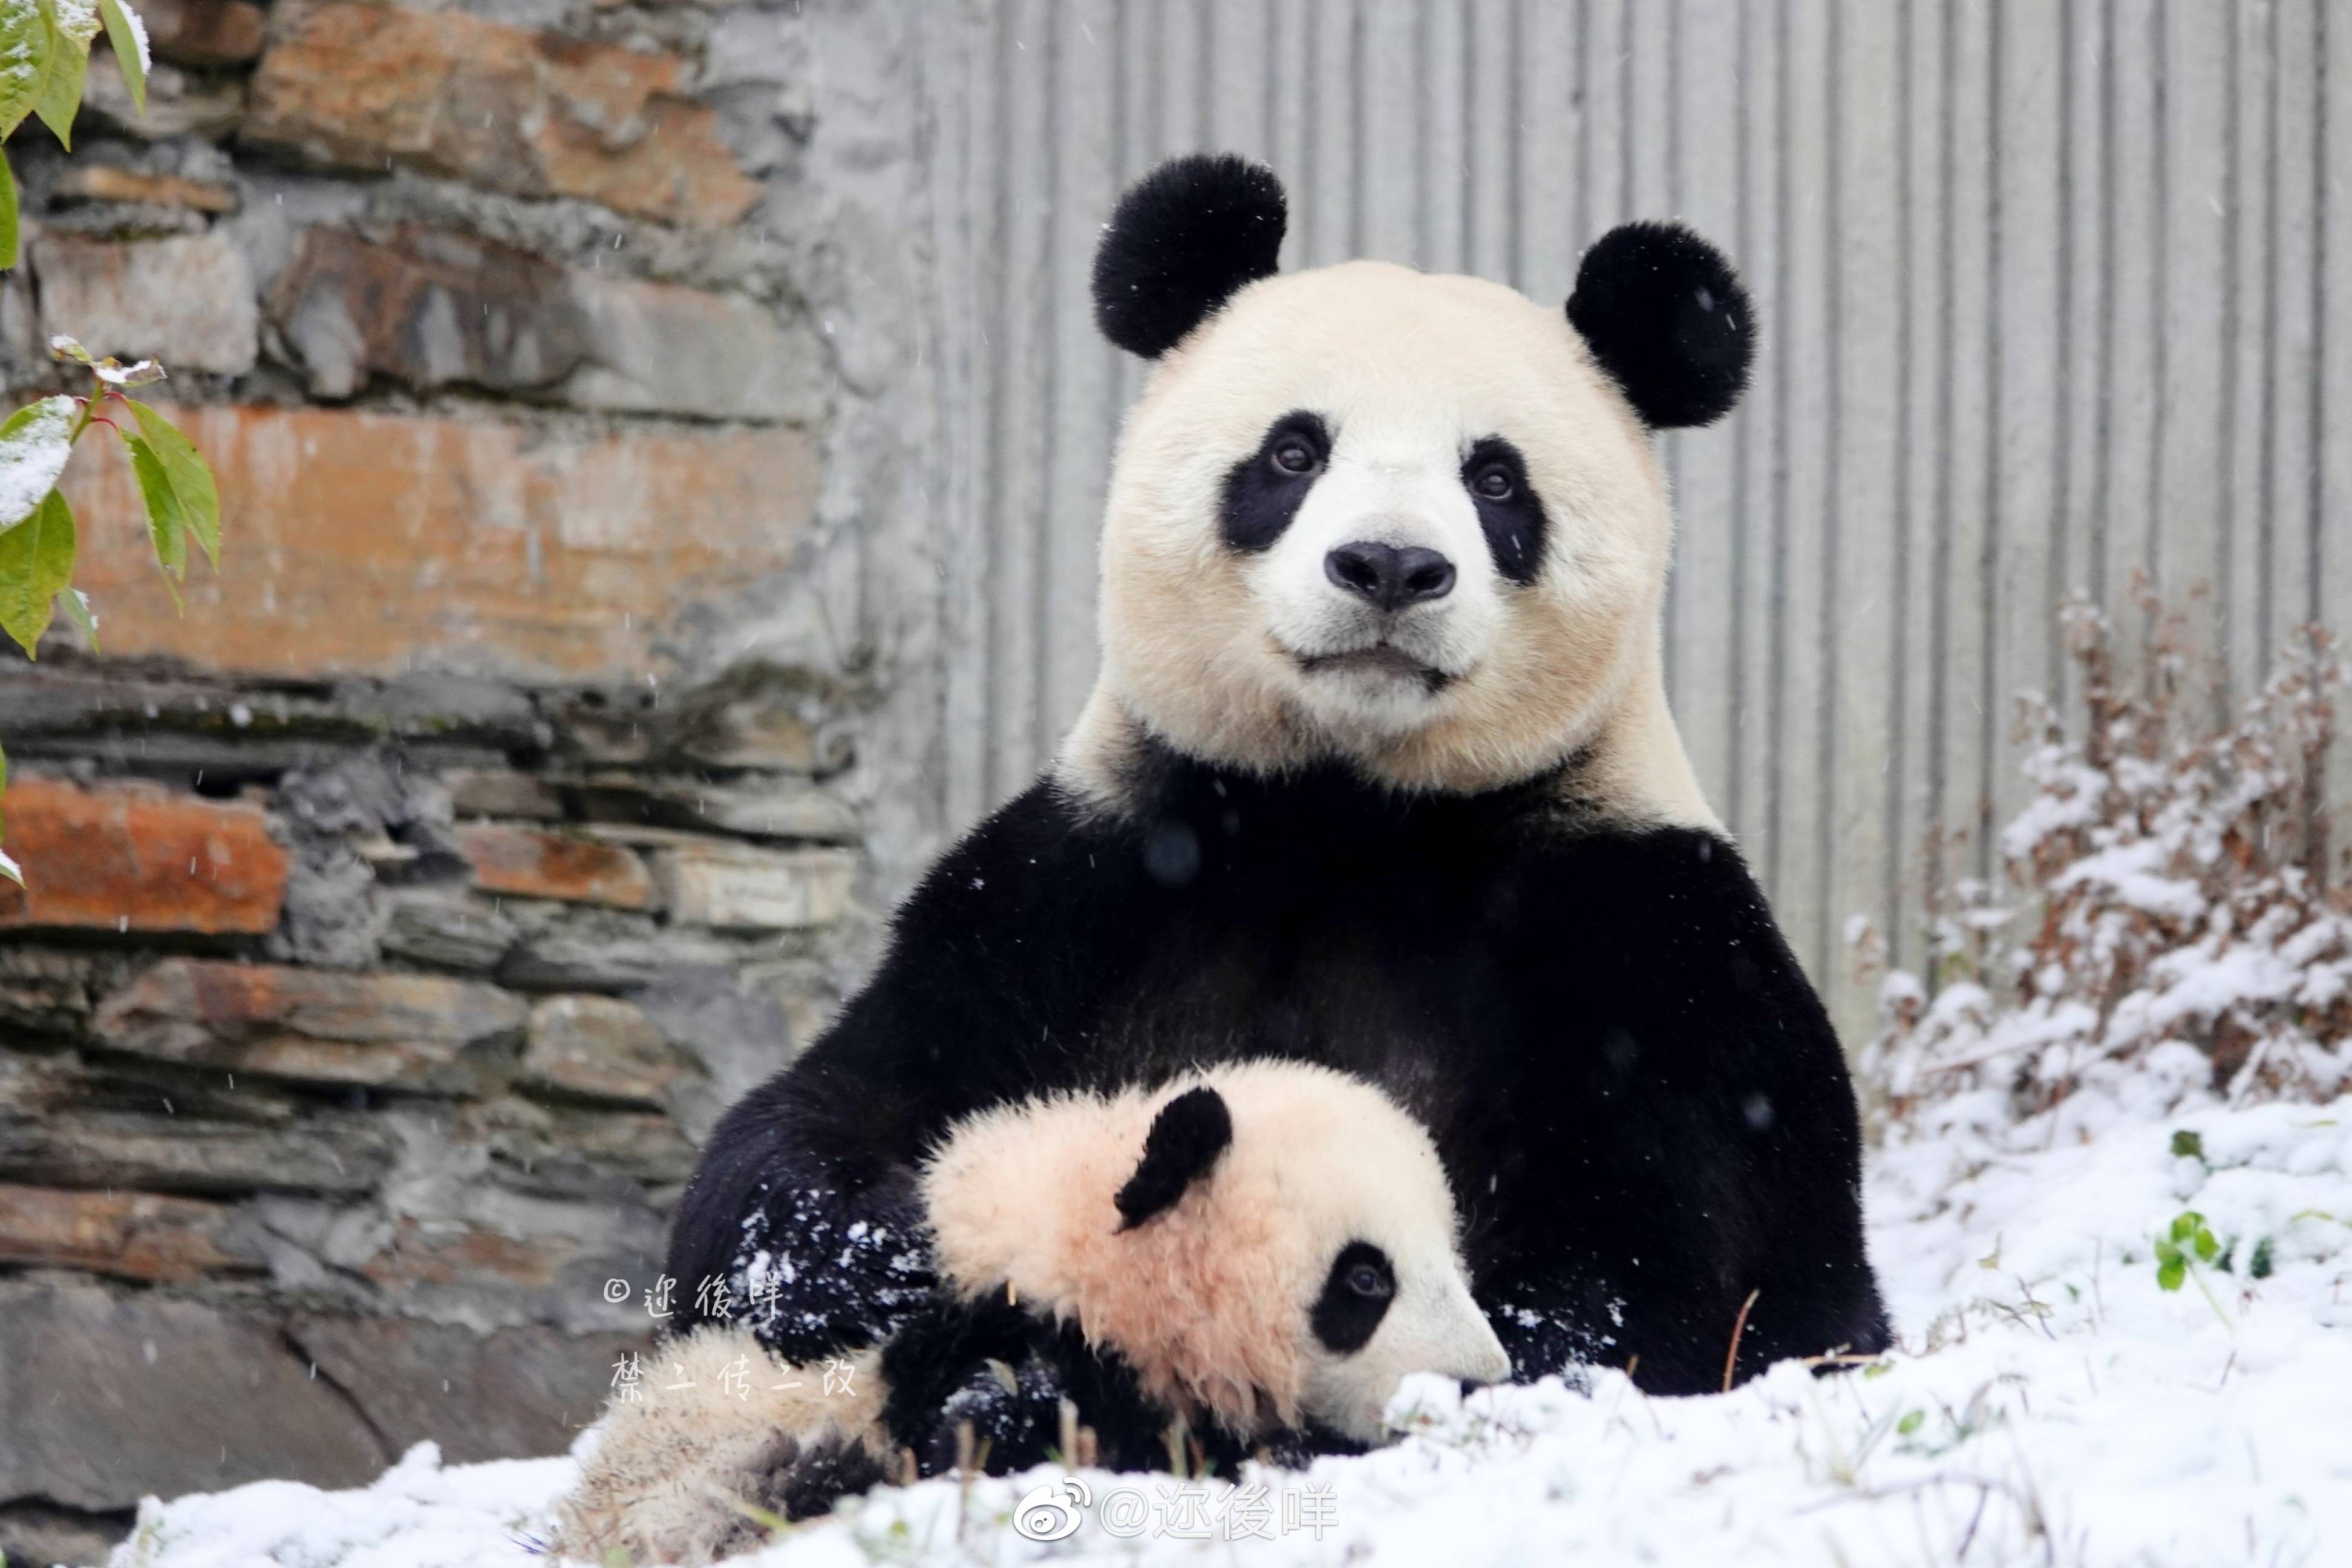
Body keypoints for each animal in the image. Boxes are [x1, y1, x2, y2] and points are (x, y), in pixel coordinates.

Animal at [668, 152, 1890, 1397]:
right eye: (1294, 454)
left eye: (1497, 481)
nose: (1391, 565)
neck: (1353, 810)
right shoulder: (1073, 889)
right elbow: (819, 1120)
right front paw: (894, 1264)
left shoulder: (1646, 930)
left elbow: (1660, 1271)